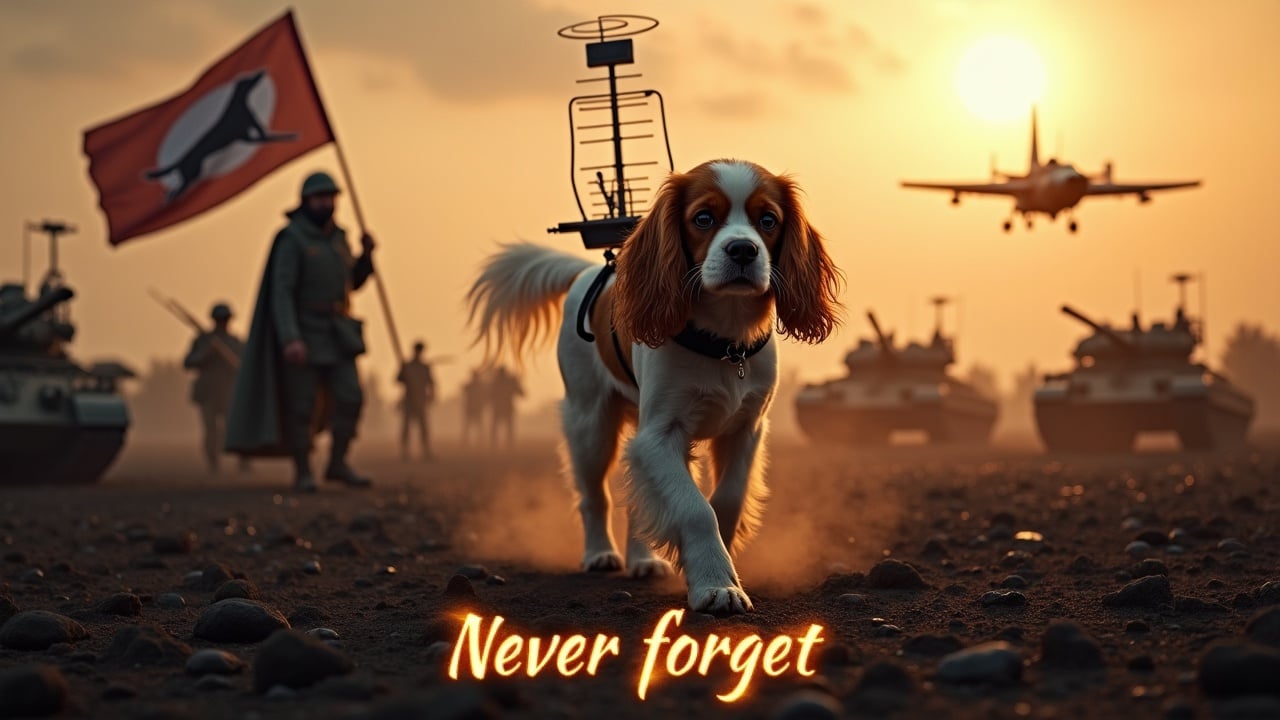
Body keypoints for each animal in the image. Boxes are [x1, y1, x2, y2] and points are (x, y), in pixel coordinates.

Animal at [468, 159, 839, 614]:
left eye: (768, 220)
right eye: (703, 218)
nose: (742, 249)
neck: (724, 342)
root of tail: (587, 272)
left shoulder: (744, 430)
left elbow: (725, 503)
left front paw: (718, 566)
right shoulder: (659, 436)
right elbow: (696, 510)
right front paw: (716, 583)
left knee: (636, 499)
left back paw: (642, 560)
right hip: (591, 425)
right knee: (595, 496)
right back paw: (599, 554)